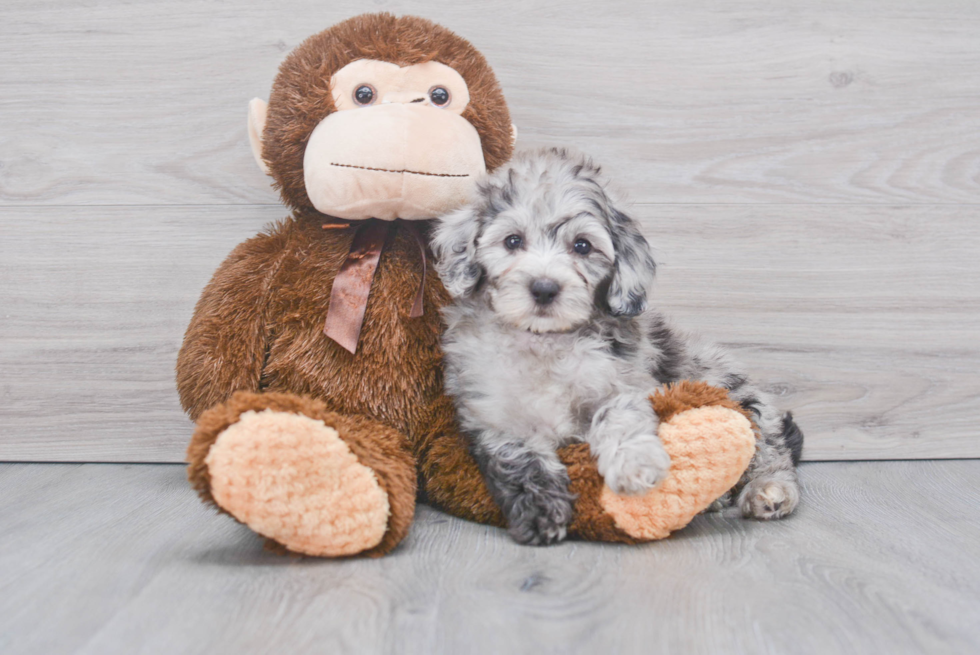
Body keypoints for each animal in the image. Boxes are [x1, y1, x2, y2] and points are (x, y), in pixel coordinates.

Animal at [436, 150, 804, 548]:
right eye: (513, 241)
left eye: (582, 245)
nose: (544, 288)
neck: (546, 341)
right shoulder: (493, 414)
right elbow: (518, 458)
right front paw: (540, 512)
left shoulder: (624, 380)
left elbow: (618, 415)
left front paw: (635, 466)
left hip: (735, 391)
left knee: (772, 451)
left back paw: (769, 492)